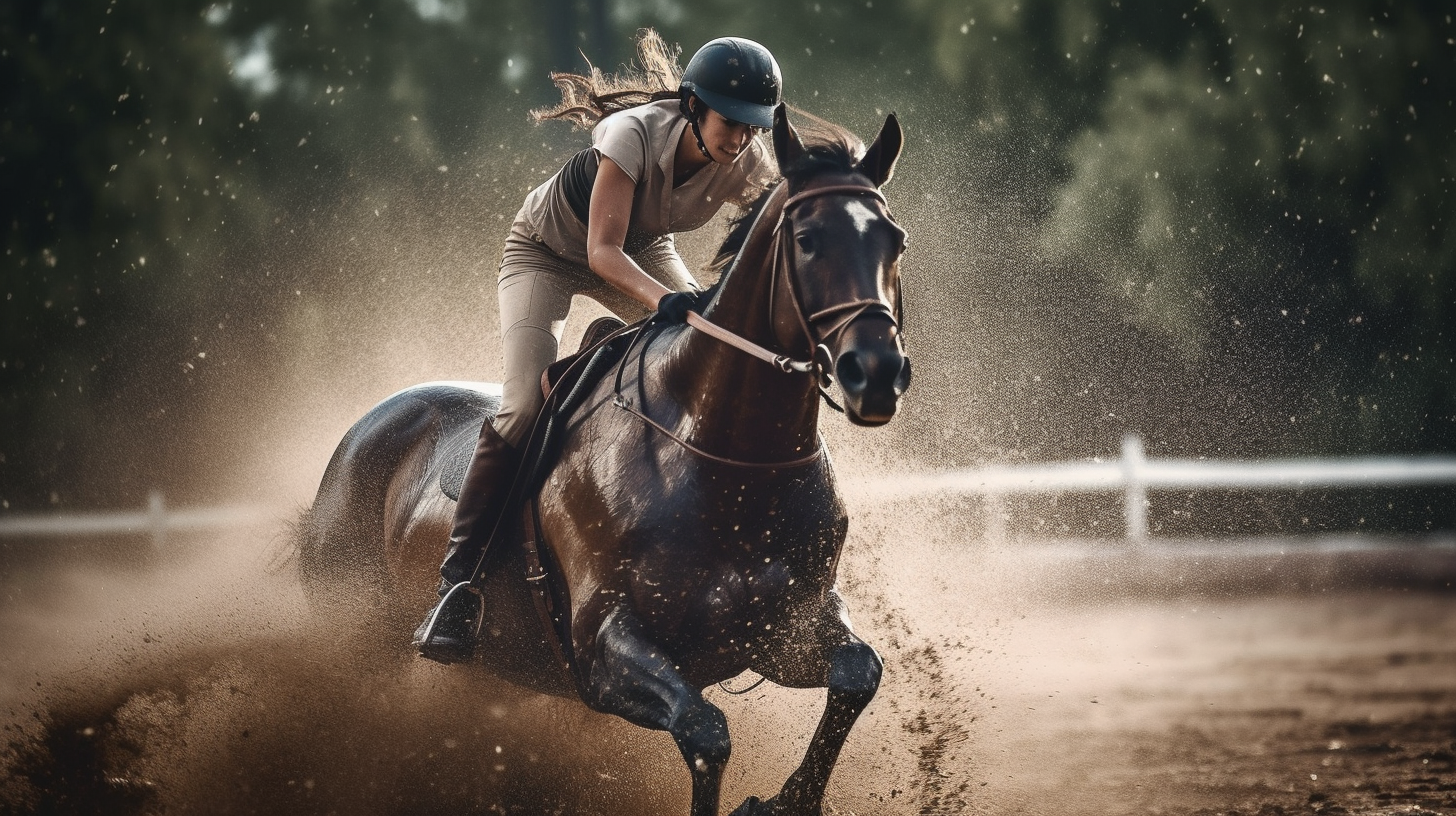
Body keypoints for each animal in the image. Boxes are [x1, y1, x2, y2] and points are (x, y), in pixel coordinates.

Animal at [299, 103, 902, 816]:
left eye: (894, 240)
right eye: (807, 240)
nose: (878, 374)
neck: (729, 459)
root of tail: (357, 436)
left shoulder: (784, 627)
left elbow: (858, 673)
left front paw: (786, 801)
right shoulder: (605, 648)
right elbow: (706, 731)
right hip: (351, 629)